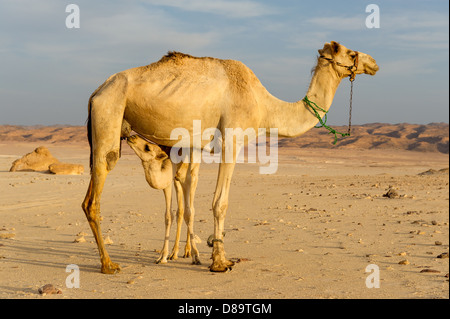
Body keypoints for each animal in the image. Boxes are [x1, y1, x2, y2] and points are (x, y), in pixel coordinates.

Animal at [125, 135, 200, 264]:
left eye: (148, 147)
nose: (132, 136)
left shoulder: (188, 179)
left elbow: (189, 213)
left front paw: (196, 256)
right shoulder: (168, 182)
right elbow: (168, 215)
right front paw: (162, 256)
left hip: (194, 175)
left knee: (190, 210)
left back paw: (187, 251)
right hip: (177, 182)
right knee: (180, 211)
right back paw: (174, 253)